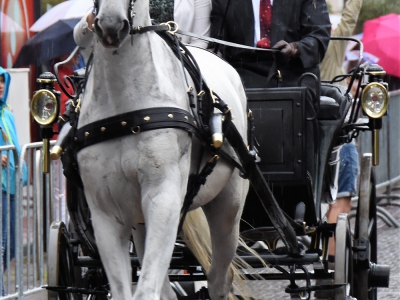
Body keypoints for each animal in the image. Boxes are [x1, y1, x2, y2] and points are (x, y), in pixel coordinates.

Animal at [74, 0, 256, 300]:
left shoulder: (163, 198)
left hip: (228, 209)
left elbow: (146, 290)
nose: (111, 26)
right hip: (140, 221)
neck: (127, 111)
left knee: (219, 278)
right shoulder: (105, 213)